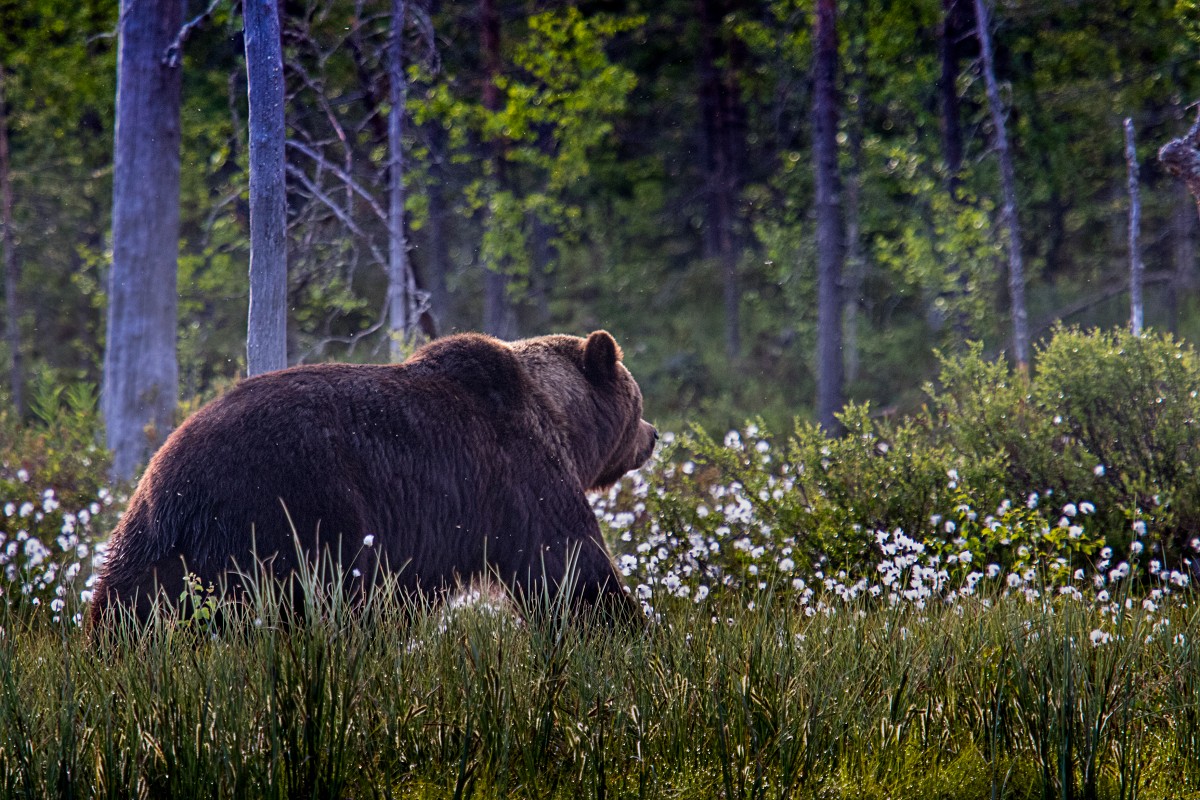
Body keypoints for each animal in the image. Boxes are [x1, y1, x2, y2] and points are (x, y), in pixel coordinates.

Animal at [91, 331, 657, 623]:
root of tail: (175, 486)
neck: (560, 418)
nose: (652, 435)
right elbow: (569, 567)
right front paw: (627, 626)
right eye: (638, 402)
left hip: (149, 542)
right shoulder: (520, 474)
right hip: (291, 515)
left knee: (124, 610)